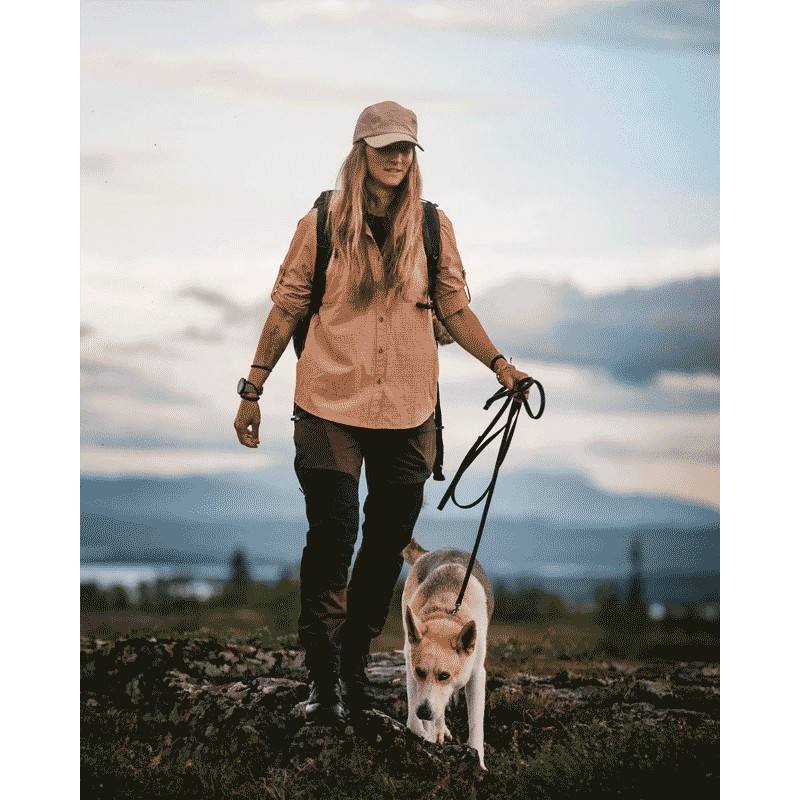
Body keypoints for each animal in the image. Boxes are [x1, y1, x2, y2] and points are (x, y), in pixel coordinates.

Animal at [401, 537, 494, 771]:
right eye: (420, 672)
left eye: (444, 675)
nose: (424, 712)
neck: (446, 614)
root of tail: (429, 553)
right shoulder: (411, 665)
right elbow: (416, 711)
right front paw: (424, 731)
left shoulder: (476, 675)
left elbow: (476, 724)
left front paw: (478, 762)